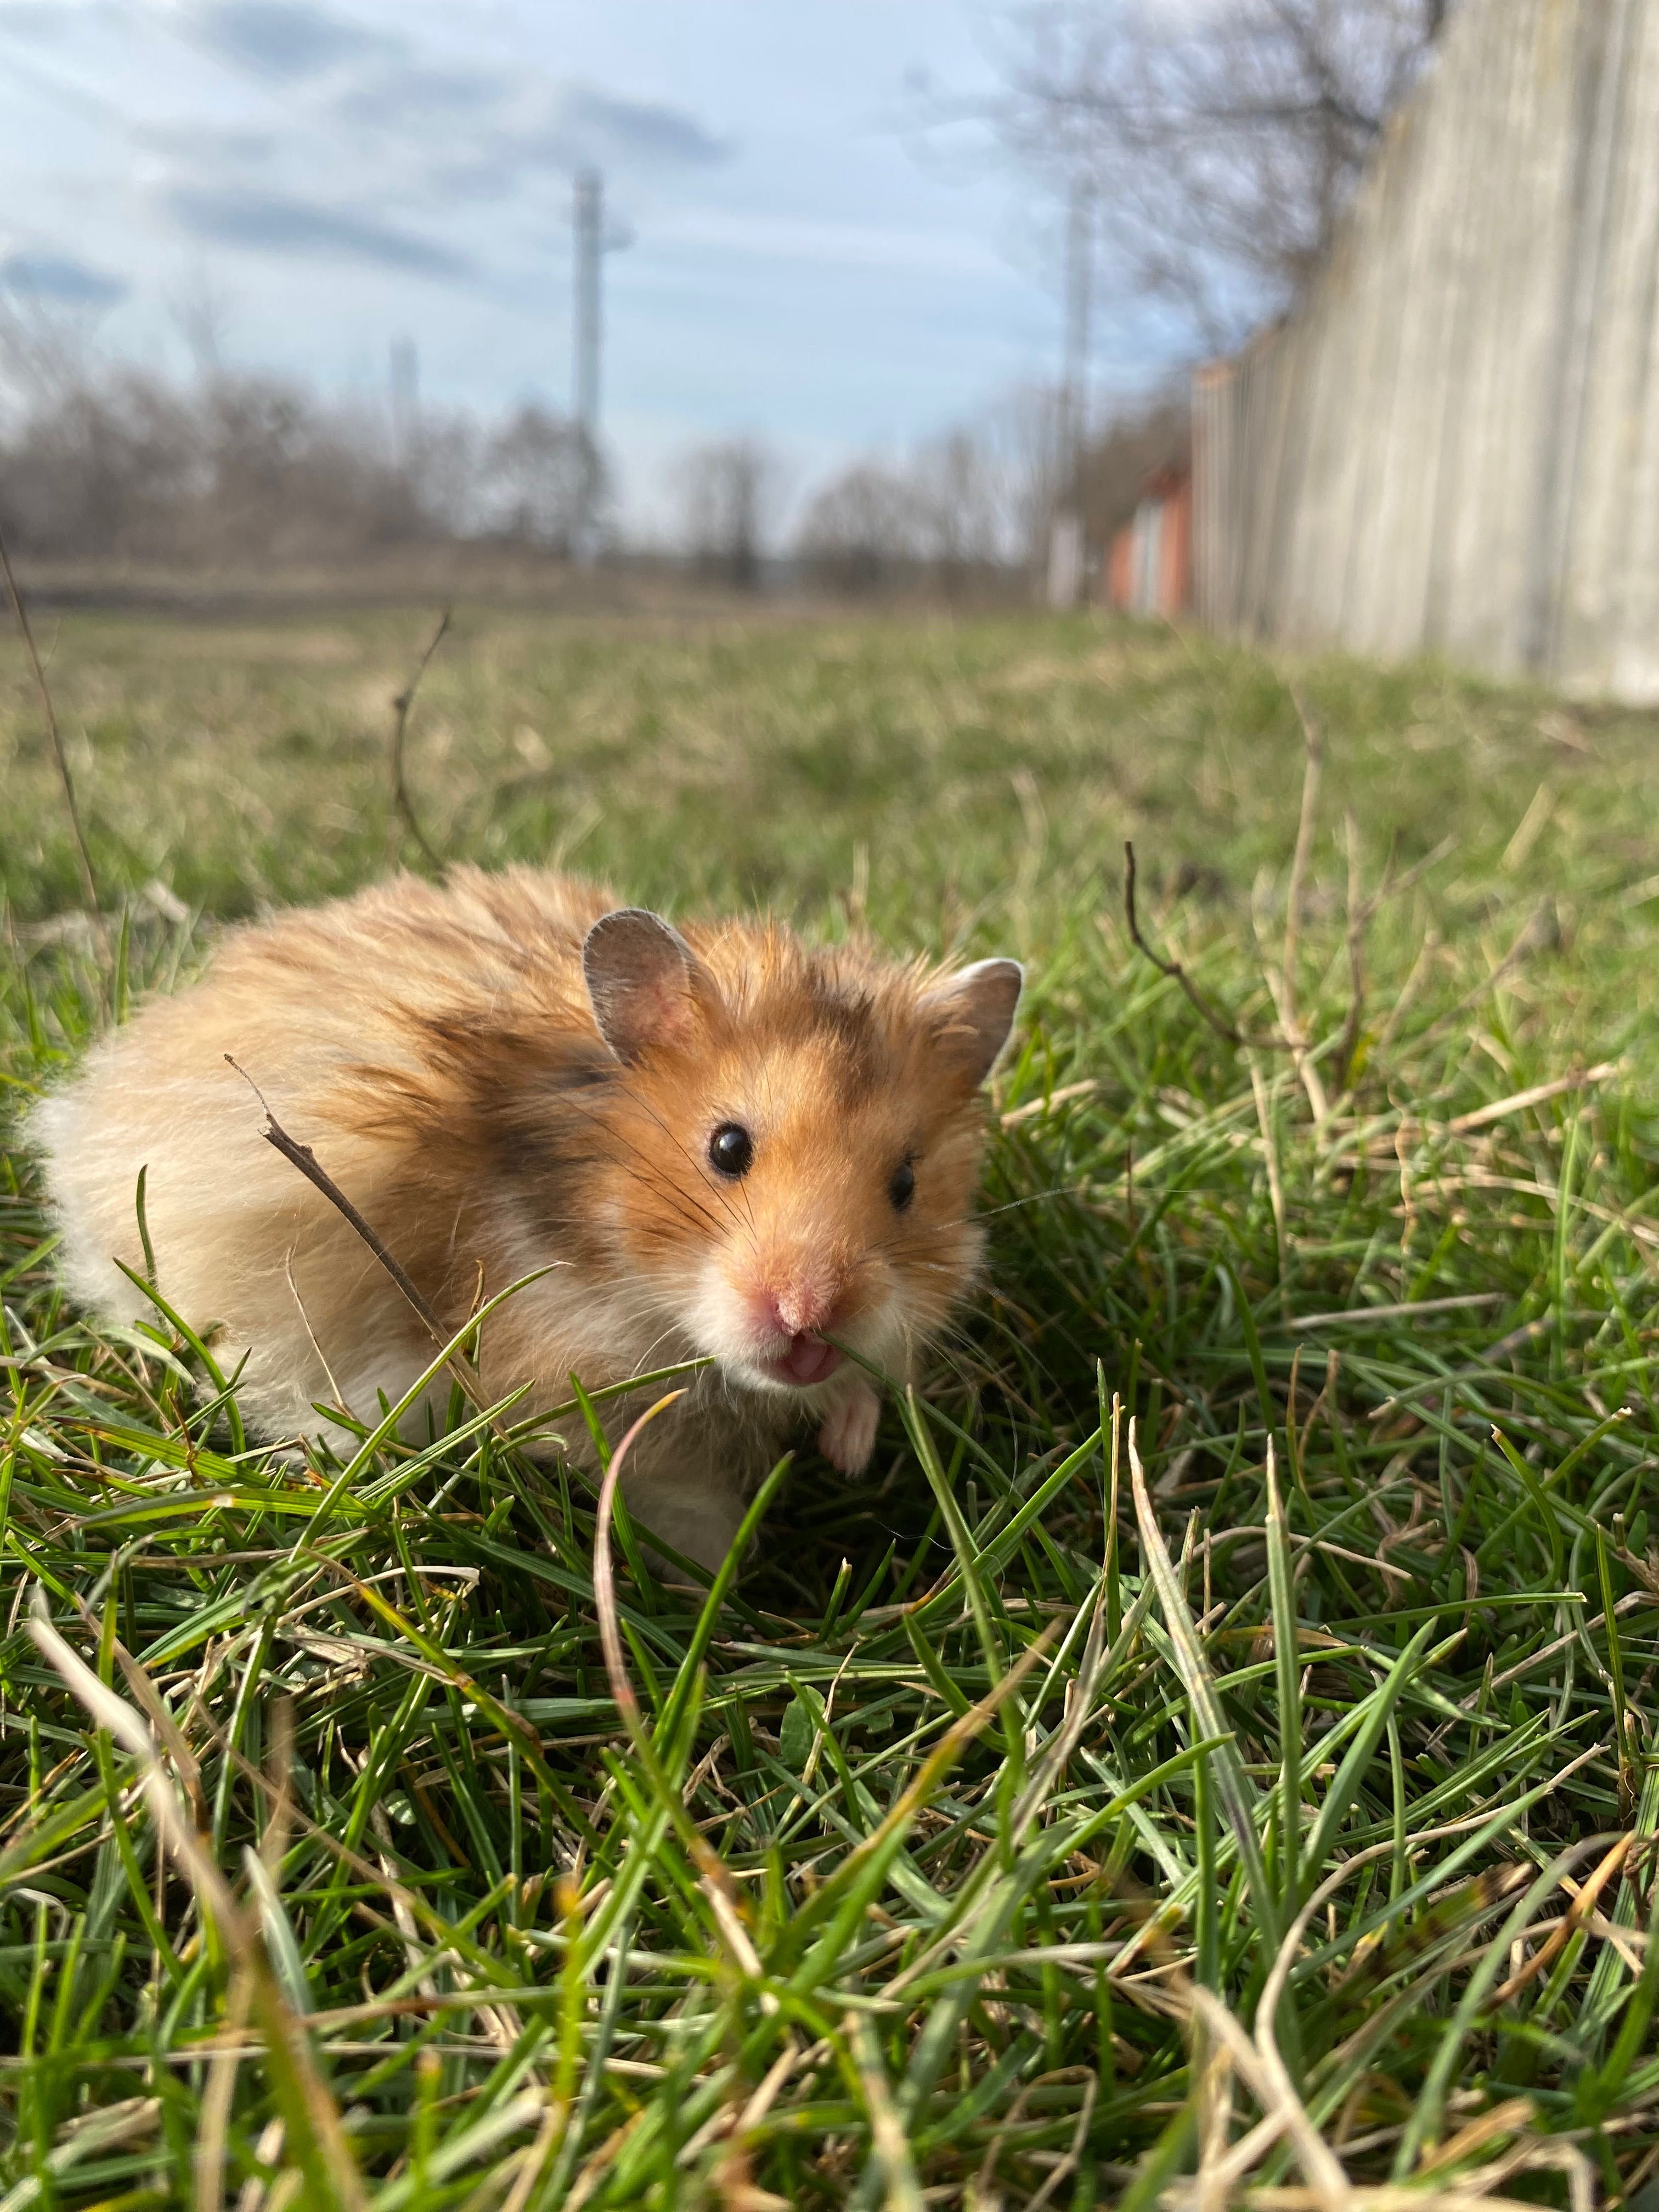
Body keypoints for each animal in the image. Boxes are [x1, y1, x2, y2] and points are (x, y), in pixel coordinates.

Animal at [32, 862, 1026, 1575]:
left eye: (906, 1183)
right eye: (727, 1147)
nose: (808, 1324)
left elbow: (875, 1376)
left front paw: (848, 1448)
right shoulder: (571, 1374)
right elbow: (680, 1499)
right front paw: (708, 1604)